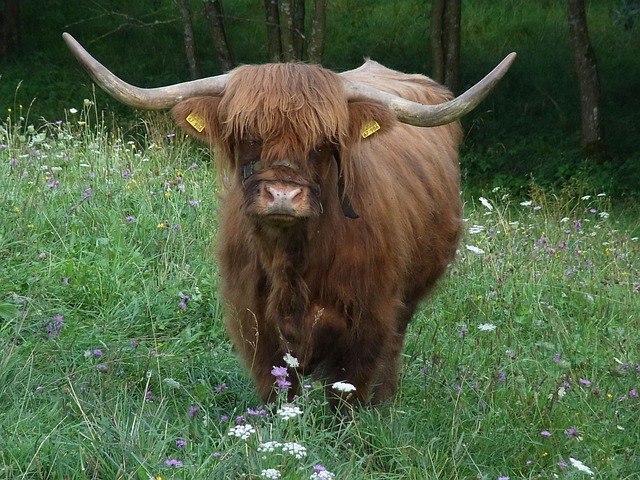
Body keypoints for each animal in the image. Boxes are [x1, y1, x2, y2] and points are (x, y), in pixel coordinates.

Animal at [65, 31, 516, 404]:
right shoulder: (254, 321)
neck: (293, 262)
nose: (283, 195)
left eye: (324, 143)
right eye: (248, 134)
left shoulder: (369, 318)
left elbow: (348, 394)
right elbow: (277, 389)